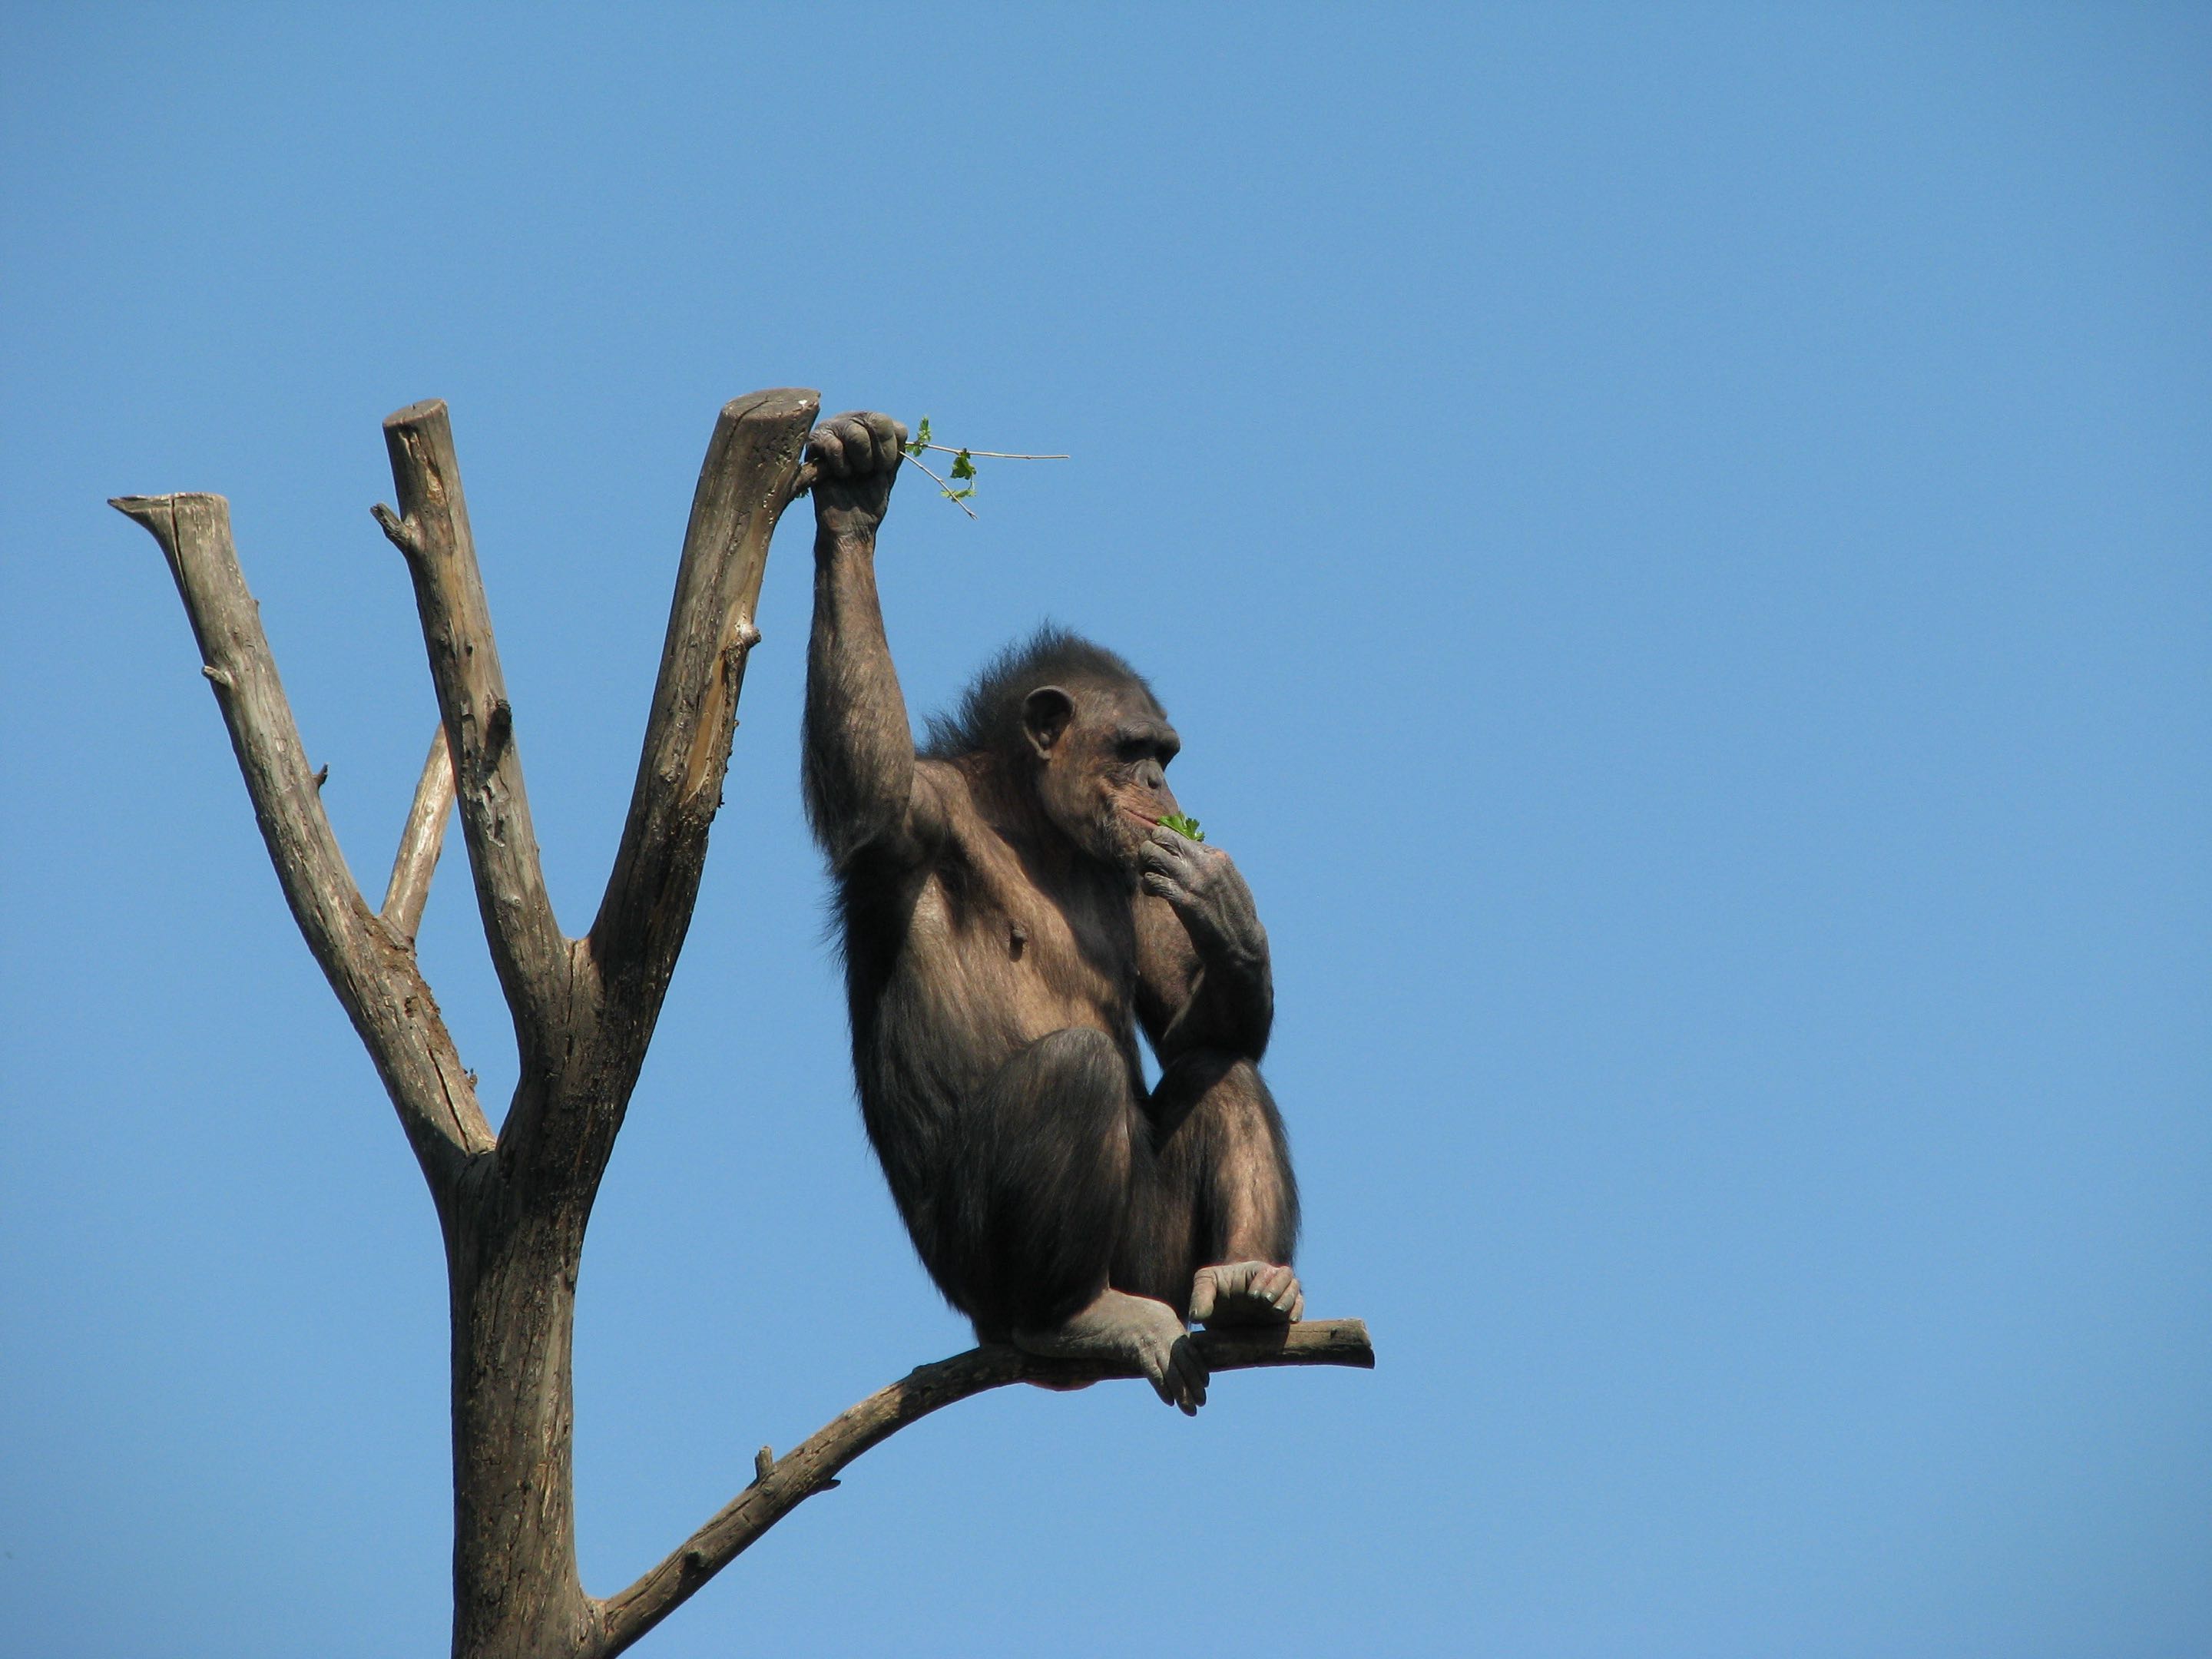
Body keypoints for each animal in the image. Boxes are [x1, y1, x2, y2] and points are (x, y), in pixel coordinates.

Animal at [801, 411, 1300, 1414]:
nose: (1160, 787)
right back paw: (1076, 1315)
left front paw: (1229, 916)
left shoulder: (1139, 871)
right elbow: (872, 785)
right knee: (1077, 1070)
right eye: (1131, 748)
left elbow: (1194, 1028)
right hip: (984, 1282)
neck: (1032, 820)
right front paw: (854, 500)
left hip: (1155, 1258)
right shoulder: (920, 817)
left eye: (1164, 753)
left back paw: (1246, 1286)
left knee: (1220, 1070)